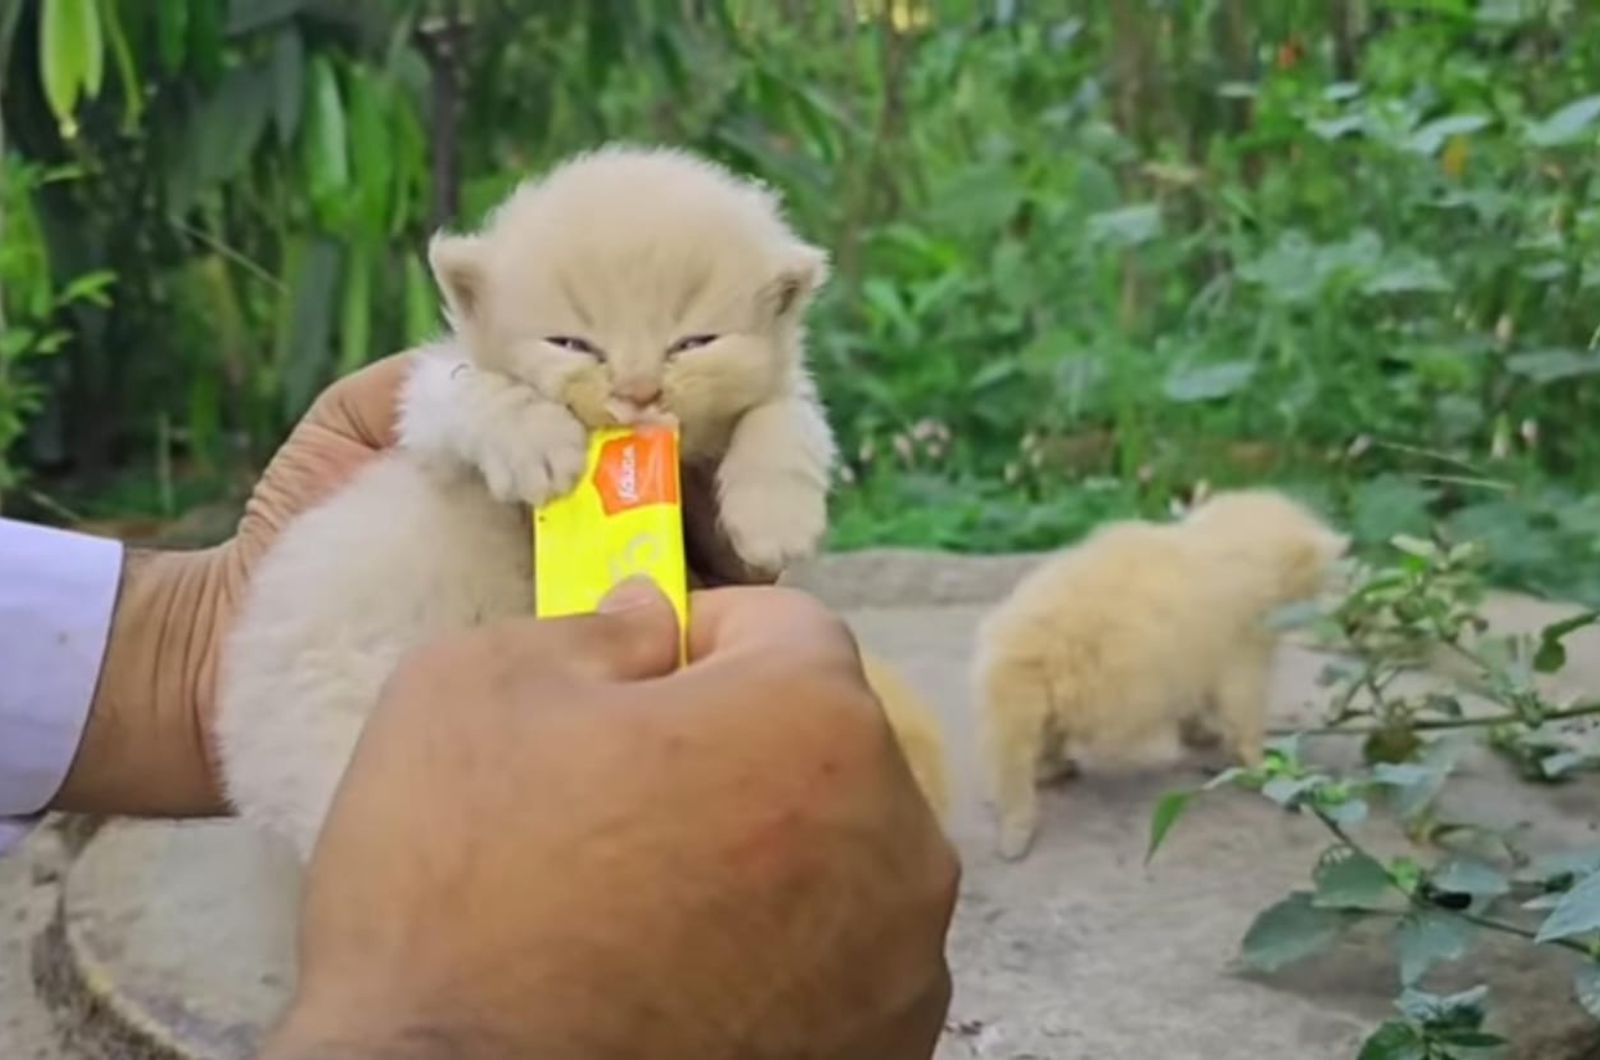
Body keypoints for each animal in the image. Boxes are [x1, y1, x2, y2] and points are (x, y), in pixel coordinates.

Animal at [219, 145, 844, 858]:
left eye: (692, 342)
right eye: (572, 343)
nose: (638, 392)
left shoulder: (777, 396)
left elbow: (788, 415)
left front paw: (773, 514)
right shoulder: (426, 417)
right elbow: (474, 389)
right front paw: (539, 449)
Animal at [966, 493, 1344, 864]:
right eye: (1320, 580)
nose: (1329, 606)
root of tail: (1019, 653)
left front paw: (1202, 733)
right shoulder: (1240, 639)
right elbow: (1241, 702)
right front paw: (1263, 765)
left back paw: (1051, 768)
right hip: (1090, 680)